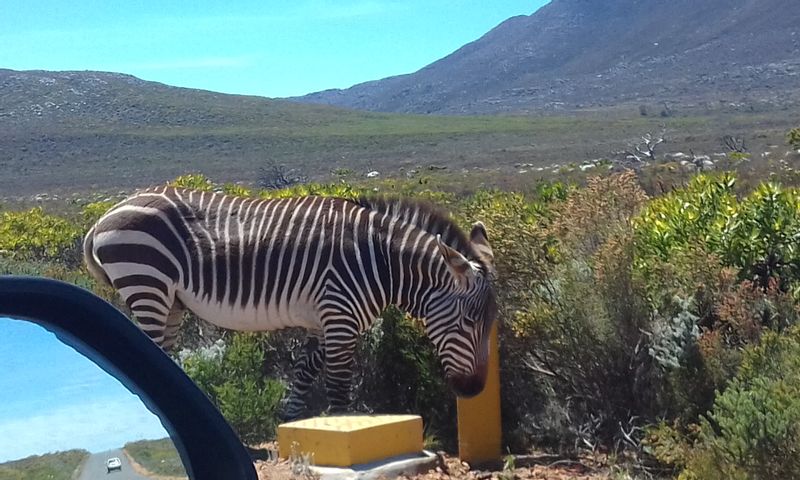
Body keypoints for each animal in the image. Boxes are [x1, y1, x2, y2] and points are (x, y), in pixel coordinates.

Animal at [81, 186, 494, 418]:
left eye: (491, 325)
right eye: (469, 322)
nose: (474, 391)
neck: (381, 261)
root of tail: (105, 215)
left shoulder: (322, 318)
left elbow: (306, 371)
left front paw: (292, 421)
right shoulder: (339, 314)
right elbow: (339, 384)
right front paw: (343, 426)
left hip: (171, 301)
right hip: (147, 284)